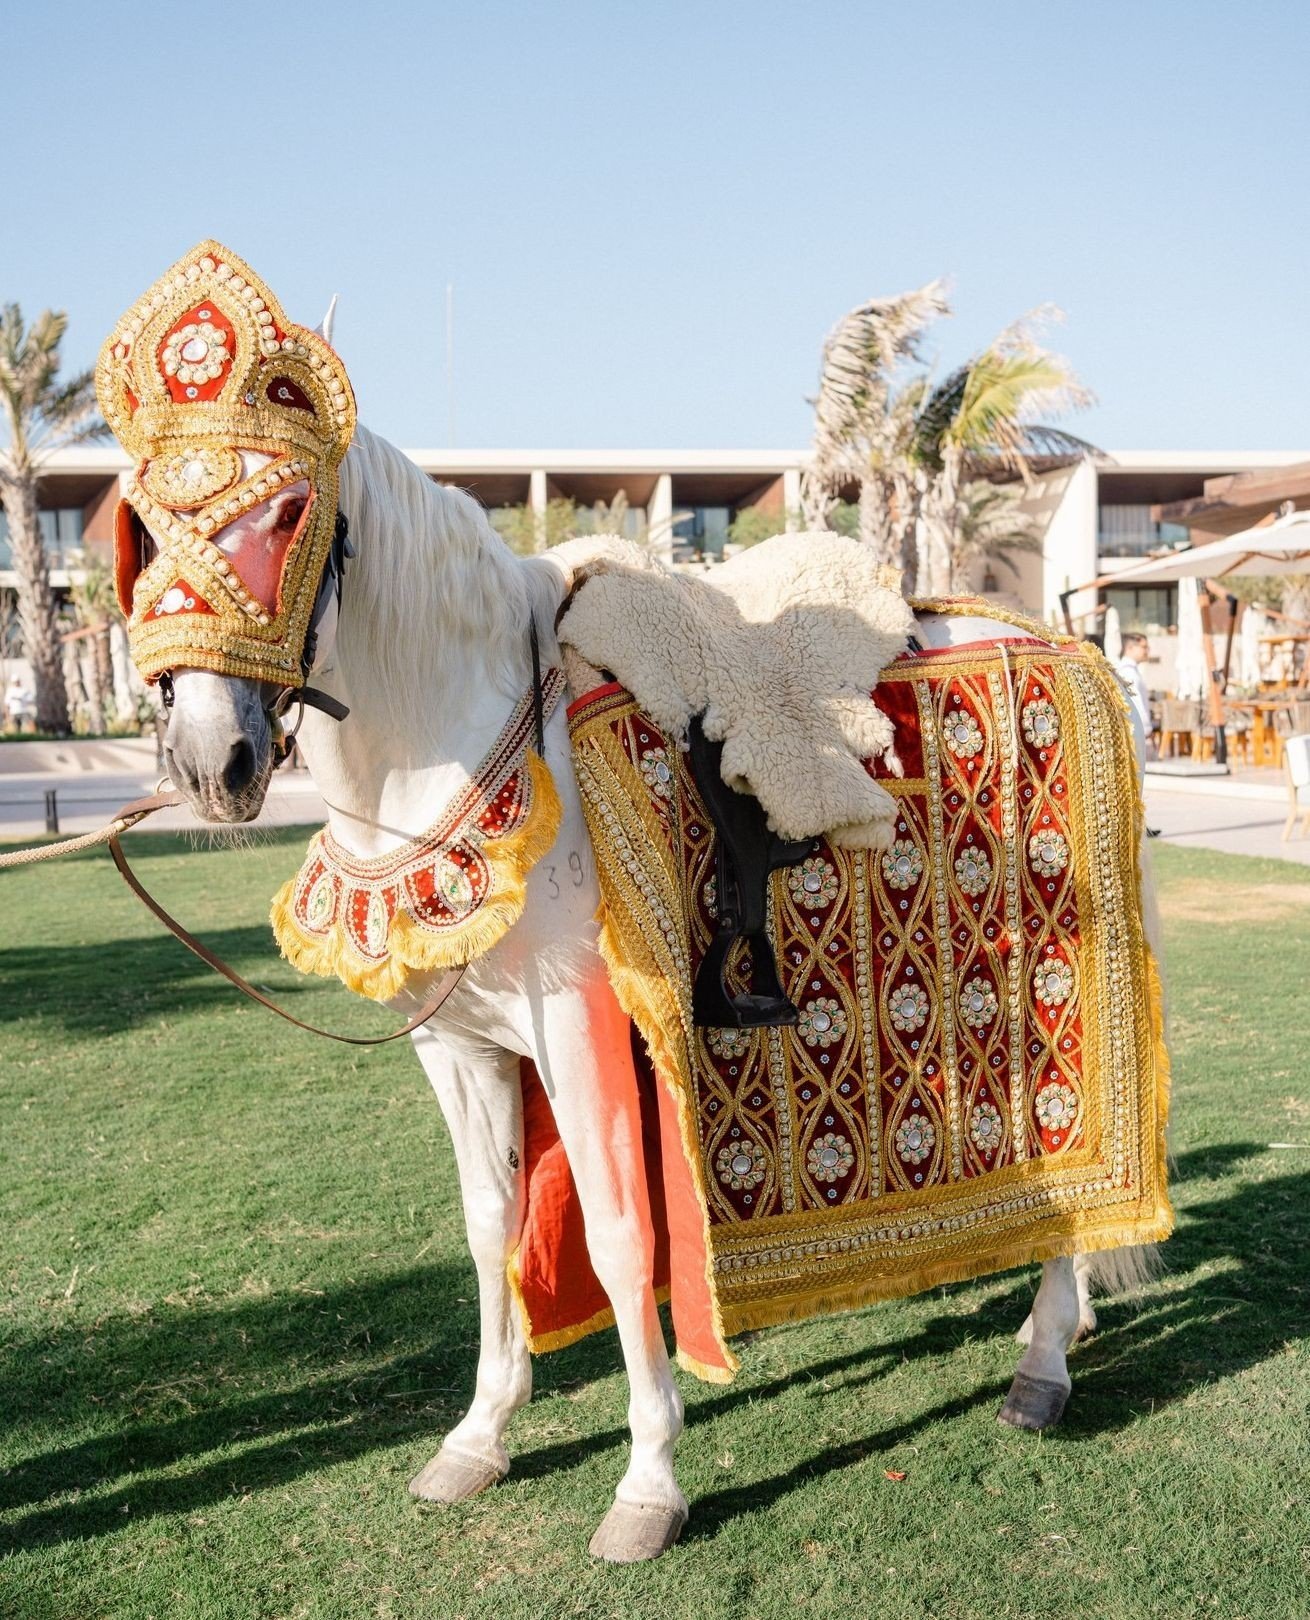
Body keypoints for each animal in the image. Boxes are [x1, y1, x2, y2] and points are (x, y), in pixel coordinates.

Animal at [156, 424, 1152, 1561]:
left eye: (288, 511)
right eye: (142, 517)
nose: (212, 759)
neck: (463, 738)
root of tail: (1065, 644)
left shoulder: (582, 1027)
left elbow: (619, 1232)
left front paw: (647, 1481)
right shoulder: (459, 1047)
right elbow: (491, 1226)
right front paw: (479, 1435)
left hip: (1055, 994)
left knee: (1069, 1157)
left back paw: (1044, 1357)